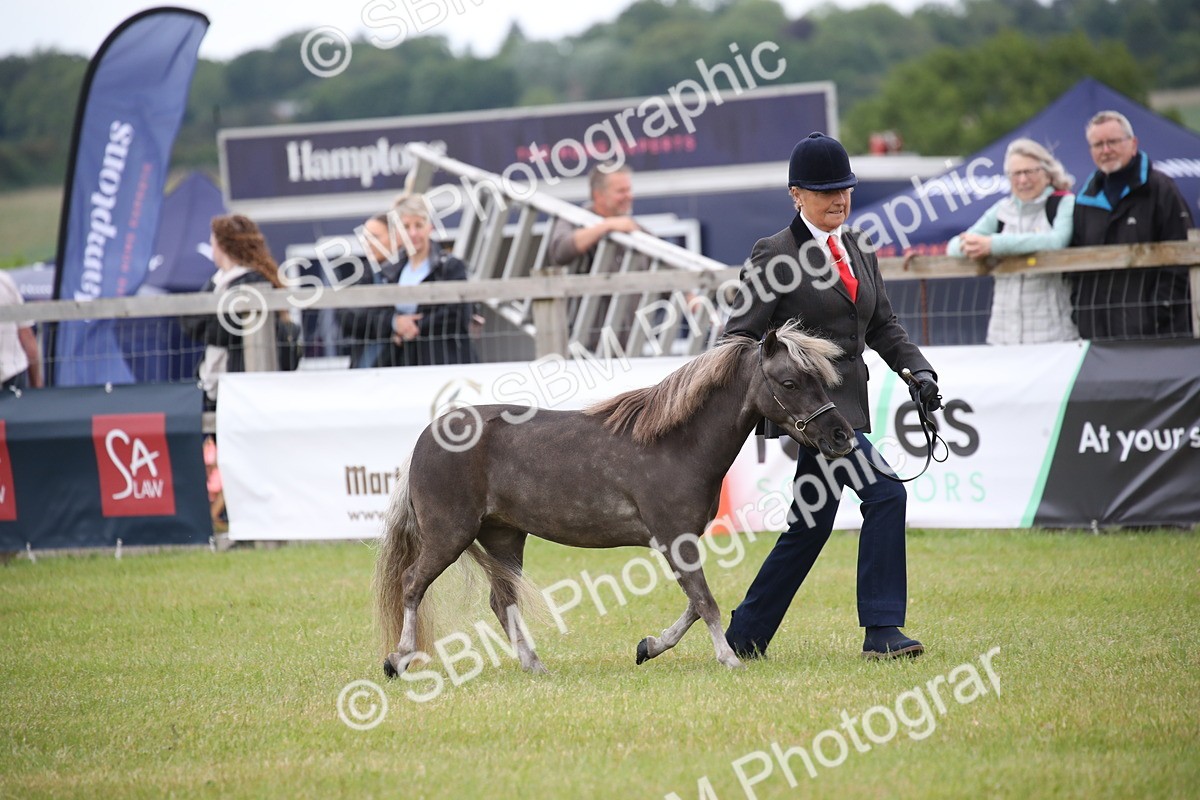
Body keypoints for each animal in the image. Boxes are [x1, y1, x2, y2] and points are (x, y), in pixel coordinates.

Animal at [374, 320, 855, 676]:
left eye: (820, 379)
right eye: (790, 382)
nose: (842, 436)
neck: (675, 443)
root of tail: (426, 438)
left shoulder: (682, 541)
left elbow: (694, 604)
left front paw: (649, 646)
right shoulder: (675, 540)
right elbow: (705, 601)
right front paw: (729, 659)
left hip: (503, 538)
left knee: (502, 601)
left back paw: (534, 666)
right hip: (449, 535)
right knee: (412, 584)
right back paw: (399, 659)